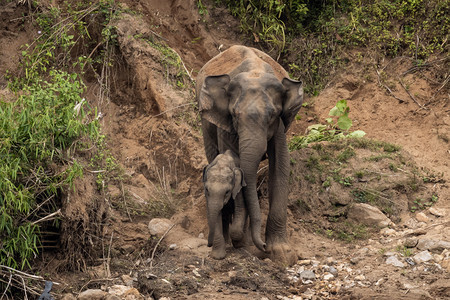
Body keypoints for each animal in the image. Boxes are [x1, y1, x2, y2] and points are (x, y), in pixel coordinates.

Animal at [196, 45, 304, 264]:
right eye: (235, 115)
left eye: (272, 115)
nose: (262, 247)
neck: (256, 72)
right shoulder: (225, 122)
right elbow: (235, 159)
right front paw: (241, 242)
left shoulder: (279, 127)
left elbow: (280, 164)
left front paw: (282, 255)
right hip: (206, 122)